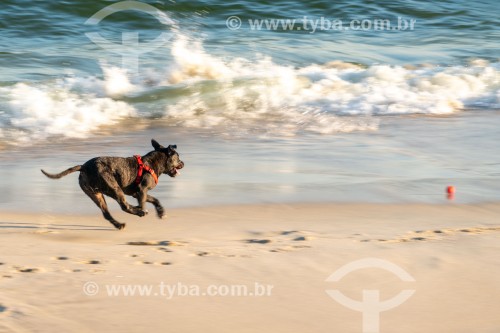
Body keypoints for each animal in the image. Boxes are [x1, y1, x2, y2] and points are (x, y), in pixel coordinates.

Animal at [41, 139, 184, 230]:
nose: (183, 163)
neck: (153, 162)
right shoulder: (142, 190)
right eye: (178, 157)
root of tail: (84, 167)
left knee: (107, 213)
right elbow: (144, 202)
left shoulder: (137, 193)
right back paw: (139, 212)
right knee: (124, 206)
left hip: (97, 195)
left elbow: (155, 199)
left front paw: (161, 212)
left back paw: (119, 224)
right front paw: (143, 209)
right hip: (114, 188)